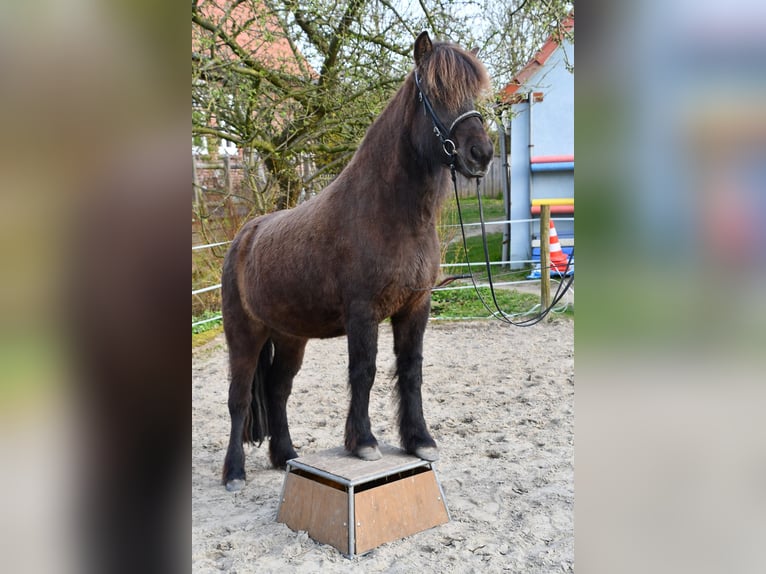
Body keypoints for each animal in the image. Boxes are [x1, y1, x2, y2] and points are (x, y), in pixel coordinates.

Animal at [221, 31, 493, 491]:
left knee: (277, 391)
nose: (482, 153)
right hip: (245, 336)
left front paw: (419, 440)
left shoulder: (415, 308)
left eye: (473, 92)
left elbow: (411, 370)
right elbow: (363, 371)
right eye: (435, 92)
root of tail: (243, 237)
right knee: (239, 399)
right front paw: (363, 443)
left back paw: (286, 455)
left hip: (290, 337)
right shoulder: (363, 313)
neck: (388, 214)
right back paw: (234, 473)